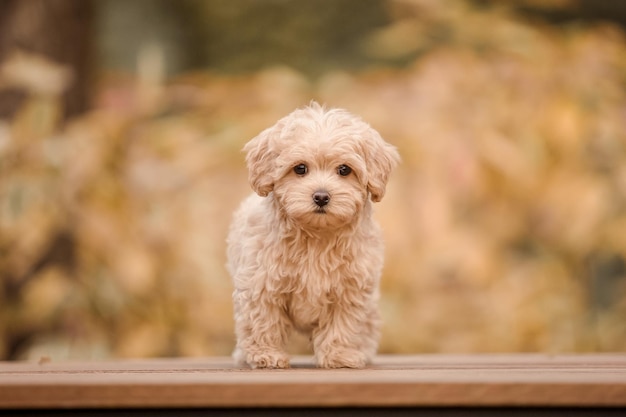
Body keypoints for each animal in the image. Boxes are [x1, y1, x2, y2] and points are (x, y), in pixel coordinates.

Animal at [227, 101, 398, 368]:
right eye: (300, 169)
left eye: (344, 170)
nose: (321, 196)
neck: (316, 236)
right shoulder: (260, 283)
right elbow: (263, 320)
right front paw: (266, 354)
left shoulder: (350, 288)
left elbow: (343, 325)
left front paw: (339, 355)